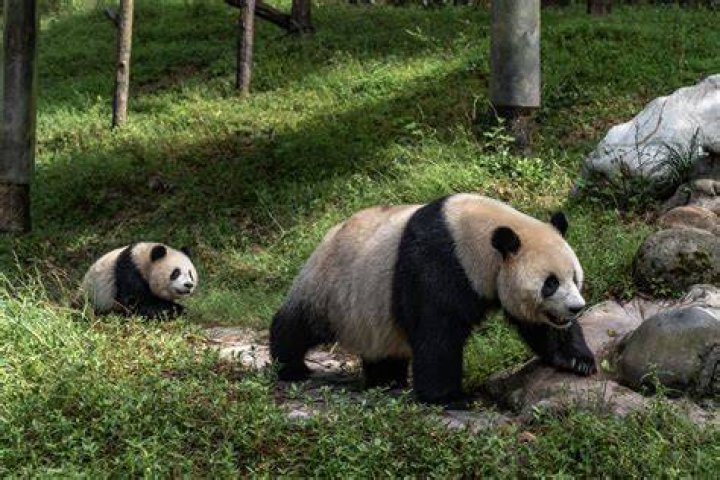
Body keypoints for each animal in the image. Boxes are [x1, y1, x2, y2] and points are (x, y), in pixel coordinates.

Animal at [270, 193, 596, 406]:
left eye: (574, 277)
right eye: (550, 283)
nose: (575, 308)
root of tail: (329, 234)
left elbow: (536, 324)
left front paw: (577, 360)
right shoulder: (438, 263)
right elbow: (436, 331)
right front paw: (450, 398)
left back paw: (386, 381)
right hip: (332, 284)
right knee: (300, 323)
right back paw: (290, 366)